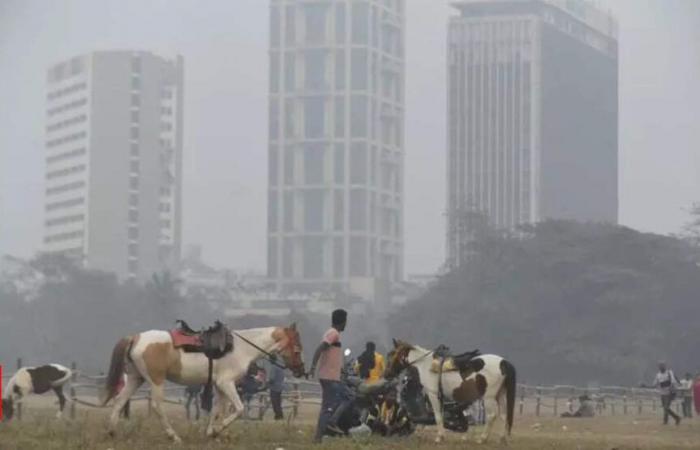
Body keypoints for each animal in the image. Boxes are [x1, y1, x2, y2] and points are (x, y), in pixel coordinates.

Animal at [102, 322, 304, 442]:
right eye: (297, 348)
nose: (301, 370)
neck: (241, 348)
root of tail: (136, 337)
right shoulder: (226, 383)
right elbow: (238, 409)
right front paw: (217, 431)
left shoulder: (219, 386)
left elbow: (217, 410)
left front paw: (211, 433)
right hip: (156, 380)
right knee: (157, 406)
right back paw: (173, 437)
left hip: (135, 378)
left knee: (119, 401)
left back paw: (112, 432)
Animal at [382, 340, 516, 444]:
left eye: (392, 354)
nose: (386, 374)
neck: (426, 365)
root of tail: (503, 362)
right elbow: (439, 416)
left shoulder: (433, 394)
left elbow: (437, 416)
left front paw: (439, 437)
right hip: (500, 395)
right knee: (503, 415)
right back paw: (502, 439)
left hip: (489, 397)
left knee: (492, 415)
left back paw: (482, 439)